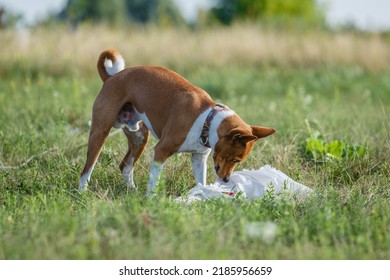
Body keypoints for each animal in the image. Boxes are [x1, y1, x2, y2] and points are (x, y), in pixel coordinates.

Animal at [78, 49, 274, 196]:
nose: (226, 180)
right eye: (235, 159)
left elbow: (201, 181)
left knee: (125, 166)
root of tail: (112, 77)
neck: (207, 120)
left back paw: (132, 191)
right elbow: (154, 181)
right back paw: (82, 192)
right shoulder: (161, 151)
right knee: (86, 170)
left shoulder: (199, 158)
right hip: (100, 133)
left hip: (139, 138)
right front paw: (151, 200)